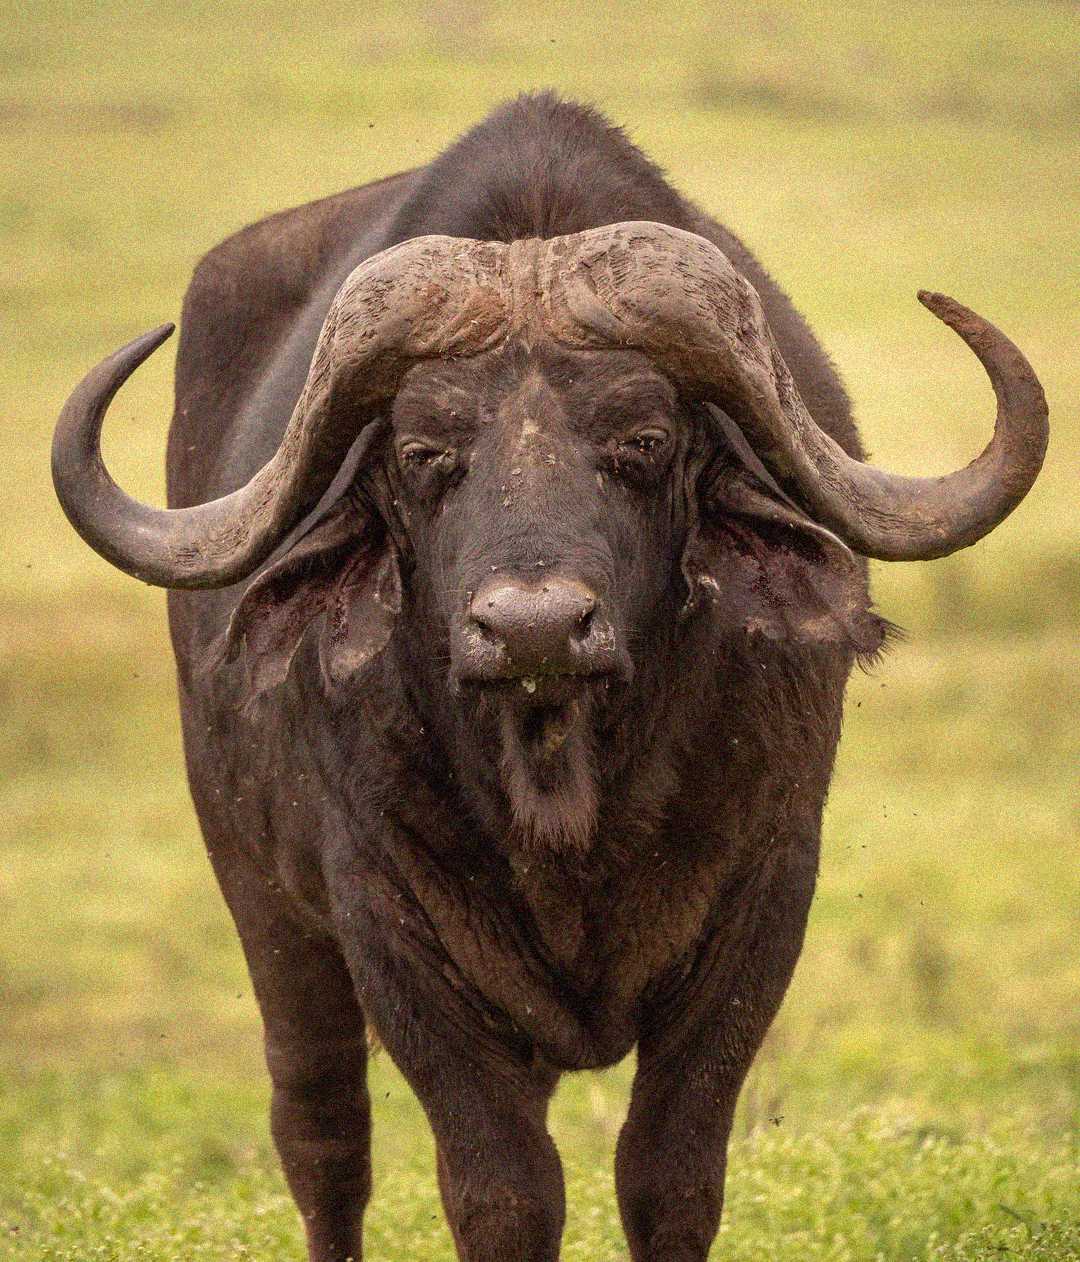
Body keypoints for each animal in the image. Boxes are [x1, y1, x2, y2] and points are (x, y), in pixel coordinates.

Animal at [52, 94, 1047, 1261]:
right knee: (320, 1129)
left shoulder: (766, 892)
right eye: (424, 454)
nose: (531, 630)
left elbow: (670, 1175)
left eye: (645, 441)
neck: (564, 787)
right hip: (261, 899)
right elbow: (503, 1190)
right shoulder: (384, 918)